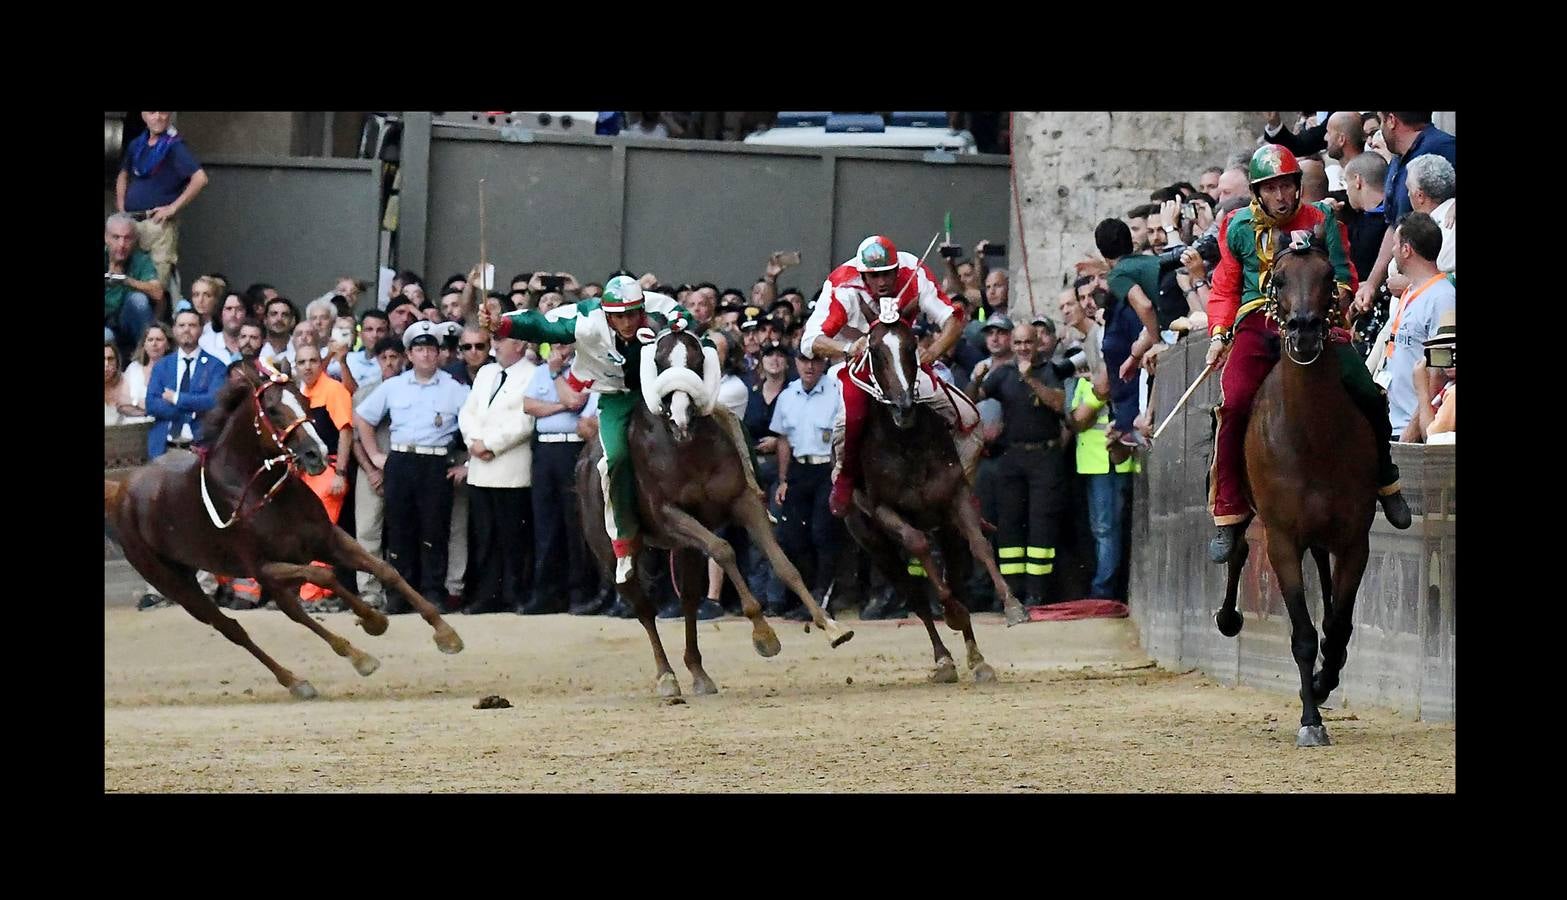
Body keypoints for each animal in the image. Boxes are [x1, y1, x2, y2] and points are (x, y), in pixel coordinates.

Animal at [100, 357, 457, 699]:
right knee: (231, 627)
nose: (316, 454)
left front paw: (446, 634)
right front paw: (374, 620)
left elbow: (385, 569)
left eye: (304, 400)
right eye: (272, 409)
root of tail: (120, 490)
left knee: (288, 611)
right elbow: (323, 575)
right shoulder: (263, 566)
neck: (258, 491)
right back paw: (303, 677)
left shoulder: (327, 538)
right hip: (175, 582)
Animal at [576, 329, 852, 699]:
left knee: (689, 599)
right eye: (659, 361)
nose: (680, 417)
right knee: (643, 606)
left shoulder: (743, 501)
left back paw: (698, 671)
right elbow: (723, 550)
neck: (688, 450)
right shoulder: (668, 514)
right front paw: (764, 634)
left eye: (696, 360)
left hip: (685, 546)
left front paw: (831, 626)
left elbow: (784, 564)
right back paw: (666, 675)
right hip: (612, 547)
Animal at [846, 297, 1027, 683]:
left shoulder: (954, 497)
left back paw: (977, 658)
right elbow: (917, 546)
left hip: (945, 530)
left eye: (912, 347)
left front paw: (1012, 605)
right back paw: (943, 658)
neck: (906, 444)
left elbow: (978, 544)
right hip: (874, 543)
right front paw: (952, 613)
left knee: (955, 575)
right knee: (913, 593)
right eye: (874, 351)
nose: (903, 406)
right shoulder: (883, 509)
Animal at [1215, 238, 1378, 746]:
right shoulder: (1283, 541)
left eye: (1328, 276)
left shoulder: (1354, 538)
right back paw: (1227, 614)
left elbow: (1338, 625)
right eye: (1281, 279)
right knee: (1238, 549)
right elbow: (1303, 635)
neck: (1311, 435)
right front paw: (1310, 719)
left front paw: (1325, 683)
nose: (1305, 330)